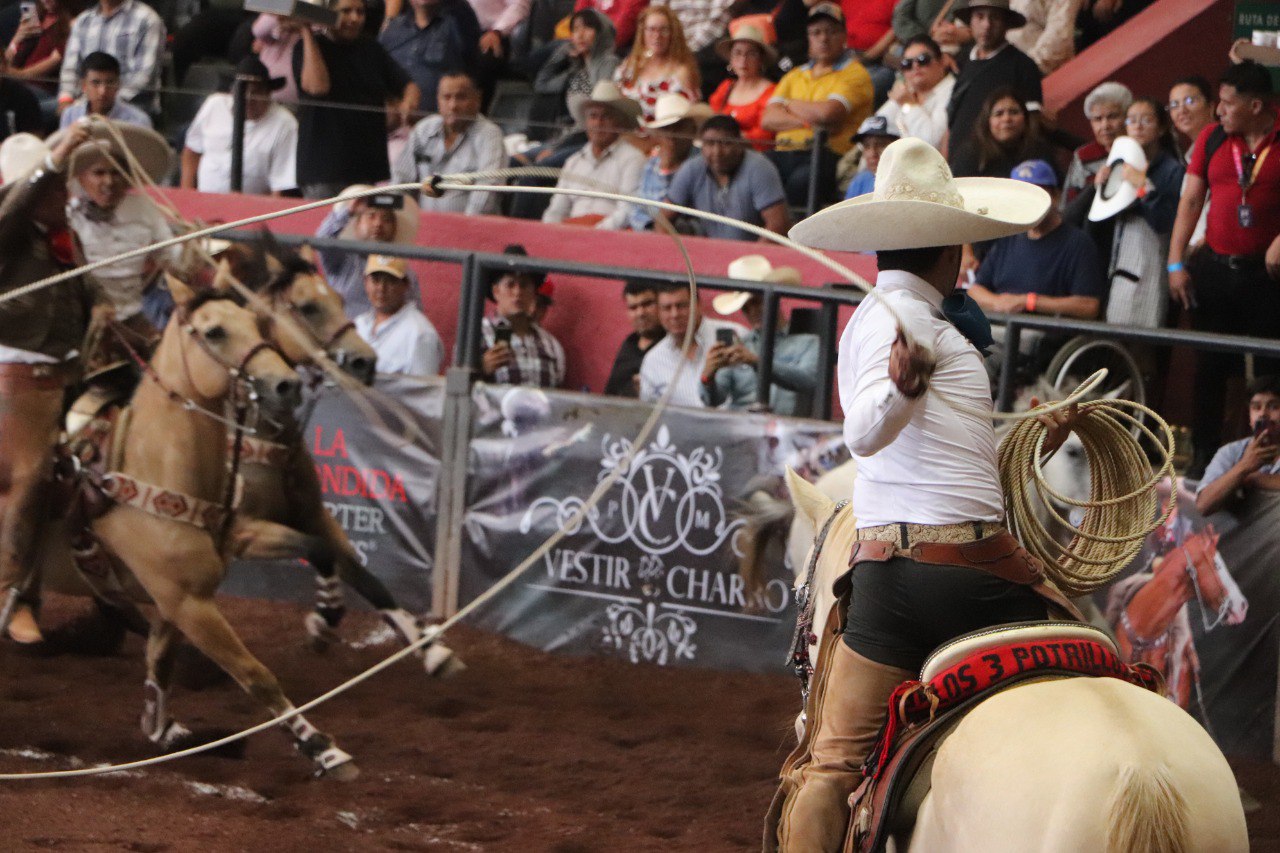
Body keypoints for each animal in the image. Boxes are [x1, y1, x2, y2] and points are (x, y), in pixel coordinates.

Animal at [23, 279, 360, 778]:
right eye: (216, 331)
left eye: (257, 322)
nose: (287, 384)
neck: (157, 469)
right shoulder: (190, 604)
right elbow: (256, 676)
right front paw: (322, 748)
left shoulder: (196, 581)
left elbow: (159, 672)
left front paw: (325, 618)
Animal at [227, 239, 463, 671]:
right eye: (308, 307)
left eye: (339, 298)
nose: (364, 362)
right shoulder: (243, 532)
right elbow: (318, 553)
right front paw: (326, 613)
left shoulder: (315, 516)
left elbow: (365, 577)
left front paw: (431, 649)